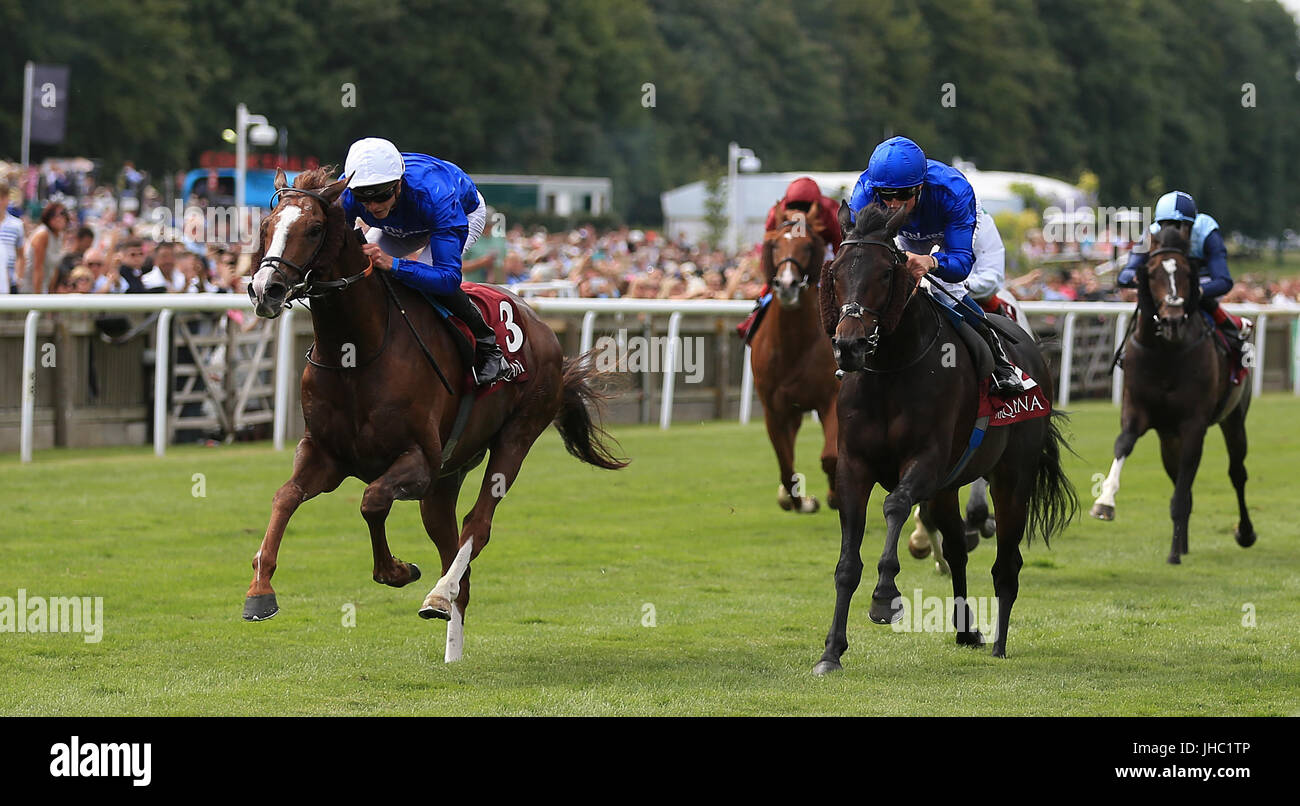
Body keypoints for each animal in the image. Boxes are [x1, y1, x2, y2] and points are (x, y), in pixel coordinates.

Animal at [246, 165, 629, 660]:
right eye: (265, 227)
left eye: (313, 228)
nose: (265, 290)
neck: (356, 353)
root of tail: (541, 324)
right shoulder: (324, 456)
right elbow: (285, 497)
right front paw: (259, 591)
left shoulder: (418, 461)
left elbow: (371, 500)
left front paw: (396, 571)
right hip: (448, 476)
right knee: (455, 555)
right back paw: (452, 648)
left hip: (514, 437)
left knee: (476, 527)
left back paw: (437, 594)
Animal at [754, 214, 842, 509]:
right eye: (775, 246)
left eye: (806, 246)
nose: (787, 284)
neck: (794, 346)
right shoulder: (774, 409)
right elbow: (785, 465)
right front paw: (800, 501)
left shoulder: (831, 398)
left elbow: (830, 456)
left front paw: (833, 495)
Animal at [811, 201, 1076, 665]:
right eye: (837, 271)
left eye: (886, 273)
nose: (849, 346)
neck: (891, 371)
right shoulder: (854, 467)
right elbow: (847, 563)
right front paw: (831, 651)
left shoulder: (927, 462)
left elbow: (896, 505)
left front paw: (885, 596)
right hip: (949, 487)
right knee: (956, 551)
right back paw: (966, 629)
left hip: (1012, 477)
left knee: (1007, 563)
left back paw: (999, 643)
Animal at [1086, 220, 1258, 561]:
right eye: (1152, 273)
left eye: (1187, 273)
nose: (1173, 320)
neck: (1166, 352)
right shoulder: (1137, 410)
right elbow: (1124, 444)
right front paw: (1104, 503)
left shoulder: (1193, 424)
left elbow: (1184, 486)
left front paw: (1173, 555)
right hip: (1168, 436)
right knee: (1178, 475)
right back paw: (1183, 542)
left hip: (1233, 418)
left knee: (1236, 472)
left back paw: (1243, 533)